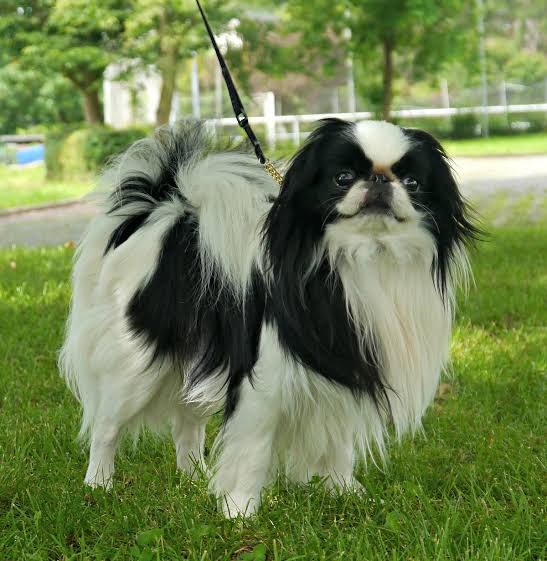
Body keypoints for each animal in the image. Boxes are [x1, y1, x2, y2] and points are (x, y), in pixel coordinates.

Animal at [61, 118, 480, 516]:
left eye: (412, 182)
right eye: (343, 177)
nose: (379, 179)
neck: (365, 259)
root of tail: (162, 211)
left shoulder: (346, 371)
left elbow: (339, 444)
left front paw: (346, 493)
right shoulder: (262, 385)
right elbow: (253, 451)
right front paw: (240, 511)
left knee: (188, 428)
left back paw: (193, 481)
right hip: (134, 369)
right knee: (106, 427)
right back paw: (99, 485)